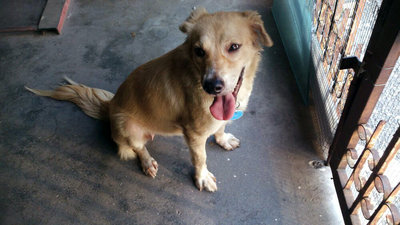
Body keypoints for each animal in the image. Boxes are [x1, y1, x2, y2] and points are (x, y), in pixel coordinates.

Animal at [26, 7, 274, 192]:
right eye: (199, 51)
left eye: (234, 47)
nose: (212, 86)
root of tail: (109, 105)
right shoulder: (194, 134)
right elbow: (200, 158)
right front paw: (202, 177)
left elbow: (220, 128)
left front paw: (223, 140)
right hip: (126, 125)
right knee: (136, 148)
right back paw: (147, 163)